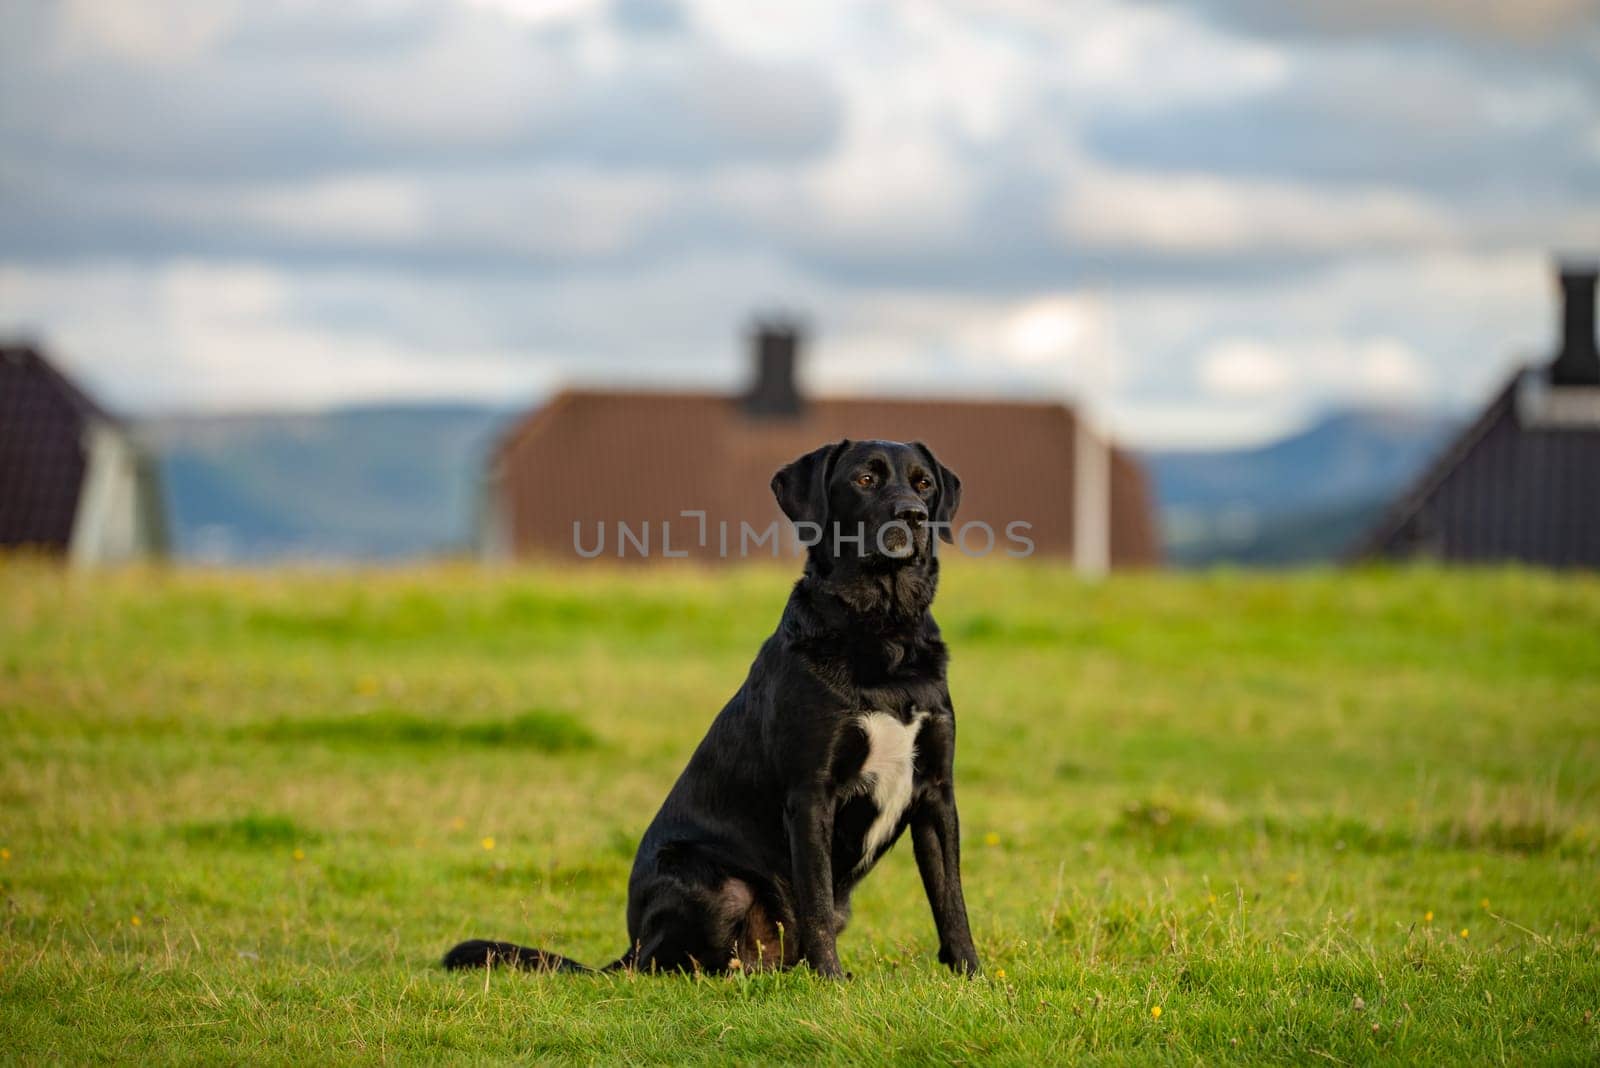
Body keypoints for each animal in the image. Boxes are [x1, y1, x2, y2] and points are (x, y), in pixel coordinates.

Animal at [444, 434, 979, 978]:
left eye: (924, 483)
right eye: (865, 479)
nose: (913, 515)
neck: (883, 632)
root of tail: (628, 949)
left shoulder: (936, 792)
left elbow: (951, 899)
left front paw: (971, 973)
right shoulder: (811, 793)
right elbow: (816, 904)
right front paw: (831, 979)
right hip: (714, 880)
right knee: (674, 963)